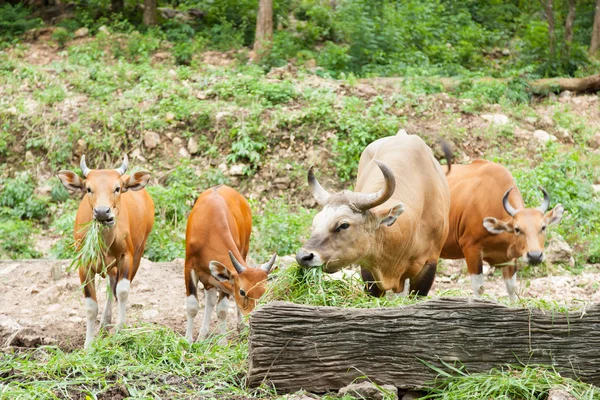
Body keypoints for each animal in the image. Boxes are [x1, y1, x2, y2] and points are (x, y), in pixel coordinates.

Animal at [58, 155, 155, 348]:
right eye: (89, 189)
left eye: (117, 188)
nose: (103, 212)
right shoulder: (84, 264)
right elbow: (91, 306)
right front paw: (88, 344)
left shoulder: (127, 257)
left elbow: (122, 291)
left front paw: (120, 329)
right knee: (111, 284)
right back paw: (104, 323)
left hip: (139, 253)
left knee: (116, 287)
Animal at [184, 184, 278, 344]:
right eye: (242, 291)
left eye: (263, 292)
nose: (252, 318)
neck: (209, 230)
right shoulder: (188, 266)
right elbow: (192, 306)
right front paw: (188, 340)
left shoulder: (228, 275)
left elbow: (222, 309)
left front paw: (222, 342)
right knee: (209, 299)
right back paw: (202, 335)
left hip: (244, 249)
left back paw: (238, 326)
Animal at [440, 159, 564, 300]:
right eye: (517, 229)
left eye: (543, 227)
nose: (535, 256)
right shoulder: (470, 249)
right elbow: (479, 289)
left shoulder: (509, 259)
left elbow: (512, 289)